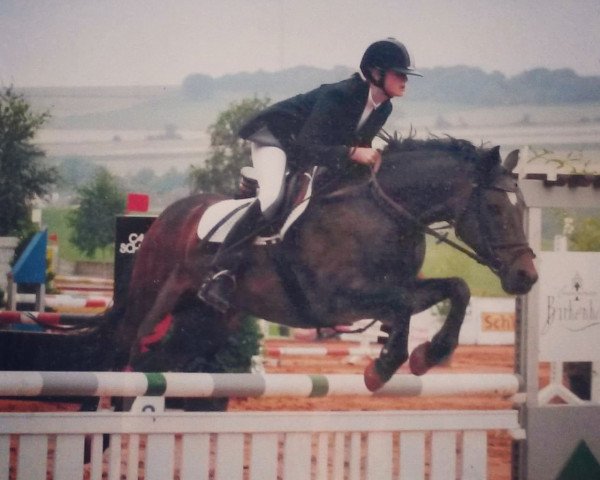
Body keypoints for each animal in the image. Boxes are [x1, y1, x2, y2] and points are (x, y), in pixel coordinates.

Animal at [109, 134, 540, 390]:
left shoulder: (400, 287)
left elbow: (456, 289)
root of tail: (168, 214)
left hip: (204, 322)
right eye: (494, 207)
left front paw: (421, 358)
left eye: (520, 206)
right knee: (128, 348)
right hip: (149, 298)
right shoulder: (336, 300)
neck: (384, 210)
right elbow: (403, 304)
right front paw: (386, 365)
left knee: (160, 357)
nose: (526, 276)